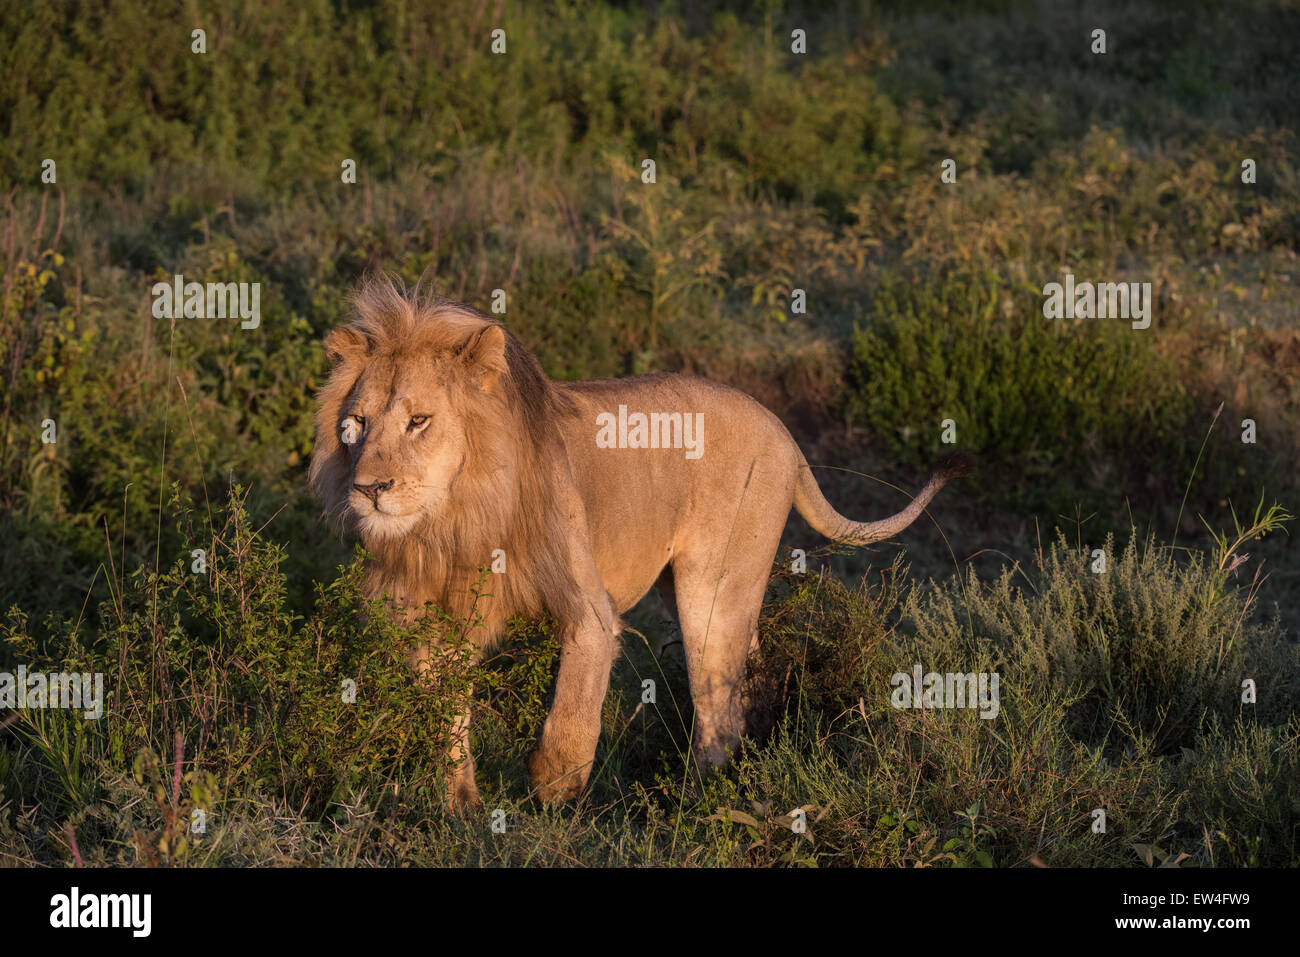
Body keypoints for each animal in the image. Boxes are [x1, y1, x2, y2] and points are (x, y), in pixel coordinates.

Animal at [309, 276, 972, 806]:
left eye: (418, 421)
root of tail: (779, 426)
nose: (369, 488)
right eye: (357, 424)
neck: (453, 520)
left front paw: (552, 787)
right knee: (745, 677)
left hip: (711, 591)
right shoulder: (430, 618)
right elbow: (443, 716)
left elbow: (575, 704)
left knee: (719, 708)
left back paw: (694, 804)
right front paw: (459, 806)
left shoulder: (588, 607)